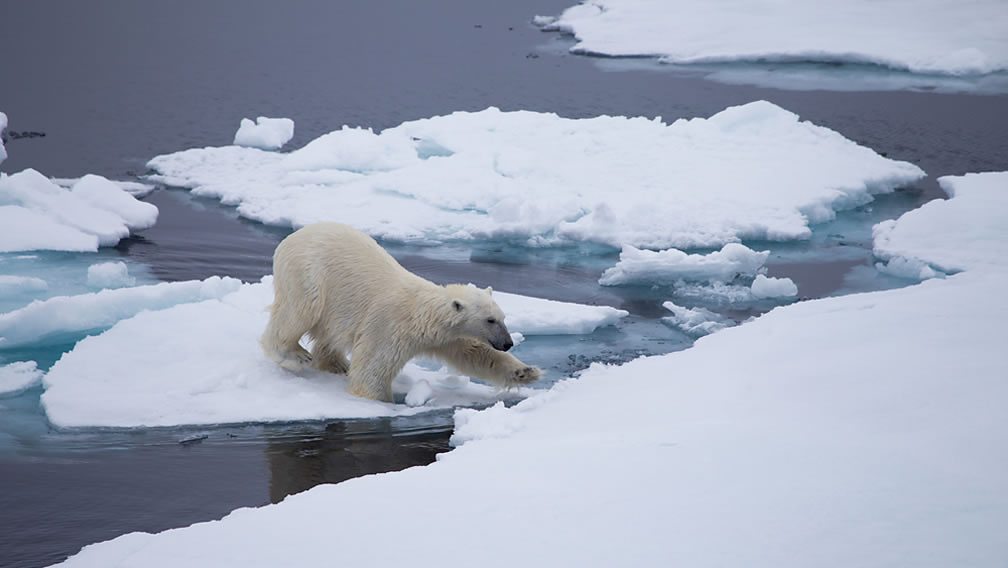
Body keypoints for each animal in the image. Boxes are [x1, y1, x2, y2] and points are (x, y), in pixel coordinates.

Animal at [260, 220, 544, 399]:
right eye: (489, 320)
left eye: (502, 318)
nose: (508, 343)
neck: (421, 315)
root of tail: (293, 236)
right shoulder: (388, 326)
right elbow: (372, 371)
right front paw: (380, 402)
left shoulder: (447, 337)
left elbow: (474, 354)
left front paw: (526, 372)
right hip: (308, 273)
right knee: (298, 311)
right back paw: (294, 355)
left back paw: (336, 364)